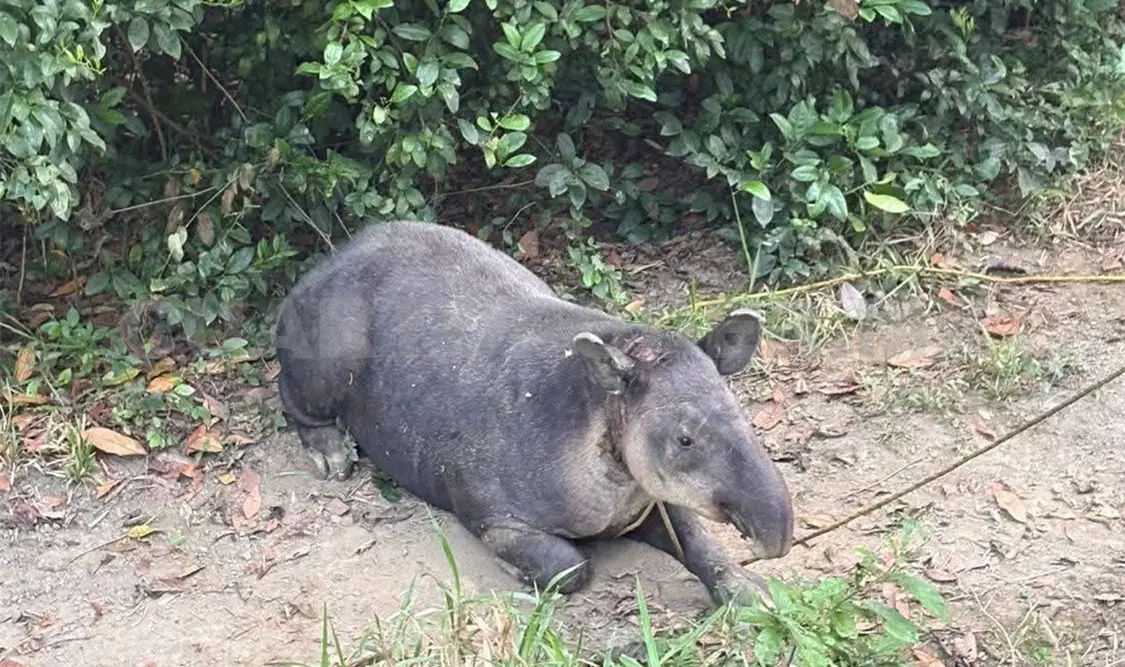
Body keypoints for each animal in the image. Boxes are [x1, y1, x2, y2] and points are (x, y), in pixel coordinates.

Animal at [274, 220, 795, 605]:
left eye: (743, 415)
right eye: (685, 438)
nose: (777, 534)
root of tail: (330, 259)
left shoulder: (646, 498)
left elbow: (698, 540)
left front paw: (750, 591)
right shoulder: (492, 512)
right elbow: (570, 566)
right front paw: (520, 573)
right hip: (330, 344)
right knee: (297, 389)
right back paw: (328, 450)